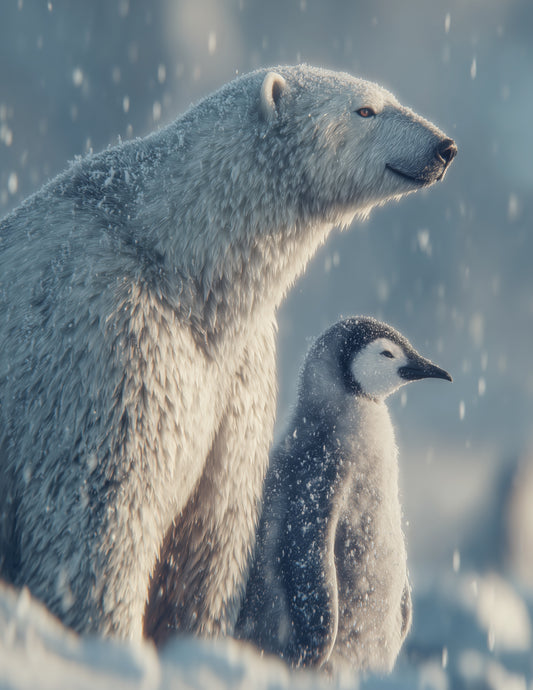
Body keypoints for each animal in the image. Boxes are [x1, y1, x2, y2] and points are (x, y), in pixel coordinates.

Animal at [0, 65, 456, 642]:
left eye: (388, 96)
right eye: (365, 109)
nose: (445, 148)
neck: (181, 266)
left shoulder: (235, 375)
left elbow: (212, 534)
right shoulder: (107, 344)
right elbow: (98, 516)